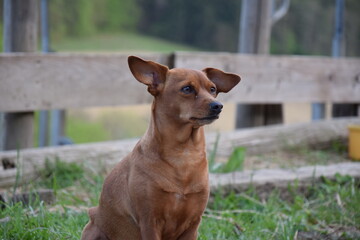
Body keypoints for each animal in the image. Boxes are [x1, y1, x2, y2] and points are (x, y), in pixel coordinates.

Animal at [80, 56, 240, 240]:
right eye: (187, 88)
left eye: (212, 89)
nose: (218, 105)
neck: (184, 155)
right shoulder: (150, 221)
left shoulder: (193, 224)